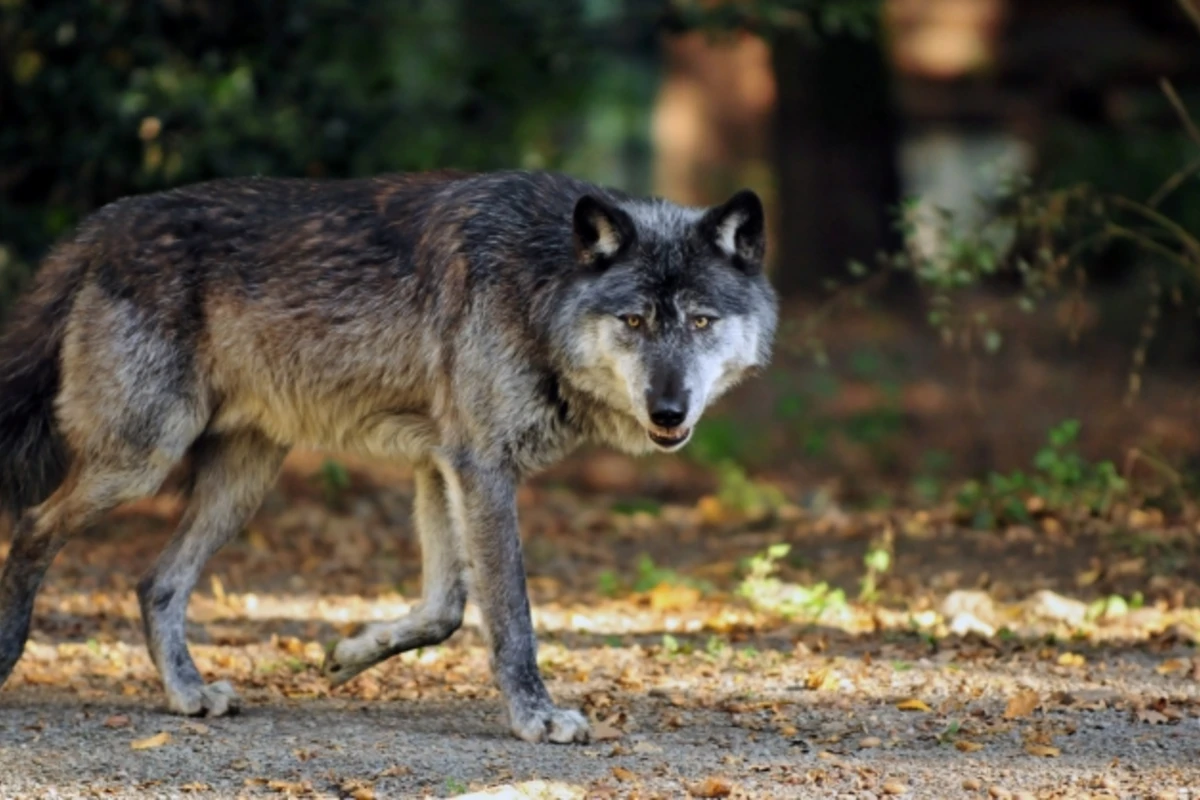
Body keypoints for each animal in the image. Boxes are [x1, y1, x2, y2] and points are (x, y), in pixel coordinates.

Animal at [0, 169, 777, 743]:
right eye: (635, 321)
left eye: (700, 322)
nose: (668, 411)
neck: (541, 283)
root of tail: (101, 224)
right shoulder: (482, 468)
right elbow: (510, 614)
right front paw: (535, 717)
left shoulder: (441, 465)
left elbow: (444, 611)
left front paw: (348, 655)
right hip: (142, 459)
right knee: (34, 526)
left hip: (240, 484)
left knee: (155, 582)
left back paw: (188, 694)